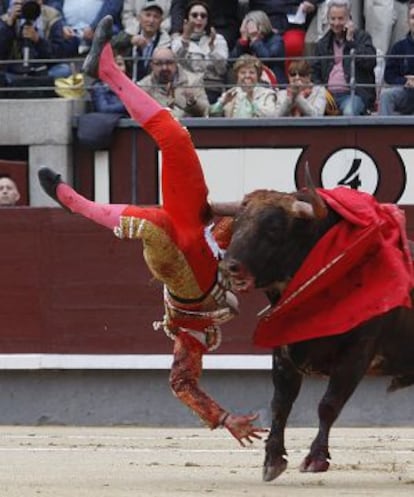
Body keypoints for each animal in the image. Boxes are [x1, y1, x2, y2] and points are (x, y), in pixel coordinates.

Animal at [218, 169, 412, 478]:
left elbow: (328, 405)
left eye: (274, 228)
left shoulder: (356, 353)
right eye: (235, 224)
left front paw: (316, 459)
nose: (228, 267)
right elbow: (280, 404)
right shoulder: (283, 352)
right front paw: (273, 460)